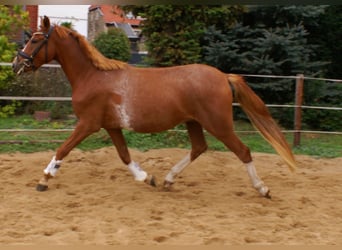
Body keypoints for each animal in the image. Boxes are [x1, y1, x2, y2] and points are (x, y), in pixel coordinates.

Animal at [12, 17, 296, 197]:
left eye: (36, 40)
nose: (16, 64)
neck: (92, 77)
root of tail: (224, 76)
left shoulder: (88, 124)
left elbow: (63, 149)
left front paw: (43, 180)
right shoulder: (111, 126)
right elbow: (124, 155)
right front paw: (147, 178)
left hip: (219, 124)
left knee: (243, 151)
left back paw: (263, 189)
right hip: (194, 122)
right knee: (199, 148)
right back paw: (168, 180)